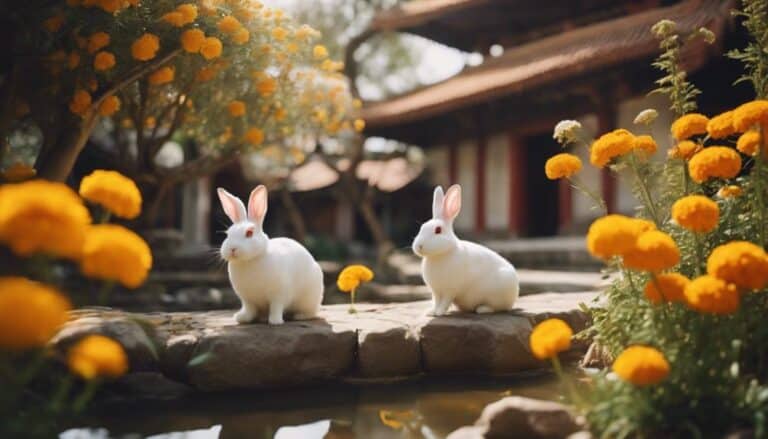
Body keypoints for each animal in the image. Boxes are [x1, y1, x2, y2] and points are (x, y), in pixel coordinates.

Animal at [217, 185, 324, 325]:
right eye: (228, 234)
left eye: (249, 233)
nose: (232, 249)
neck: (250, 260)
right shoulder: (247, 300)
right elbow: (250, 310)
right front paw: (242, 318)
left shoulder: (278, 294)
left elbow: (276, 307)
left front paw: (275, 321)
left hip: (309, 299)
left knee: (311, 312)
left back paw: (299, 316)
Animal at [412, 184, 519, 316]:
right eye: (422, 227)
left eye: (438, 230)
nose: (419, 246)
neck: (440, 254)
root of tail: (516, 291)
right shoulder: (436, 291)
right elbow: (436, 301)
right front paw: (431, 312)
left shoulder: (449, 290)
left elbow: (444, 302)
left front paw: (439, 313)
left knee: (498, 308)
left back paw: (482, 309)